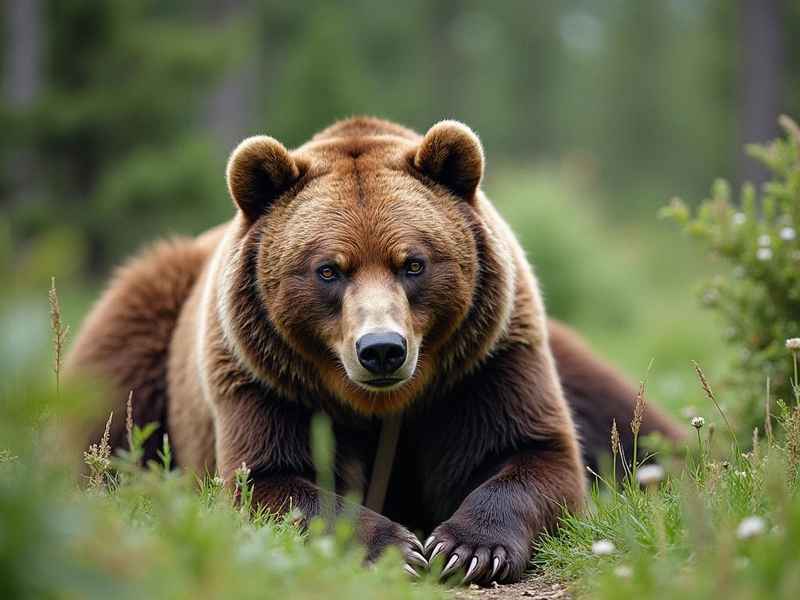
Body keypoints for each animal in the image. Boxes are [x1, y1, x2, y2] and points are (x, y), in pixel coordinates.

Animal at [67, 117, 683, 585]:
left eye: (413, 262)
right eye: (328, 269)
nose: (382, 349)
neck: (382, 404)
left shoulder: (485, 365)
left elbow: (533, 452)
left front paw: (467, 548)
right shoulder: (263, 378)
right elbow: (269, 478)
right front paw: (395, 546)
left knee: (625, 417)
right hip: (147, 312)